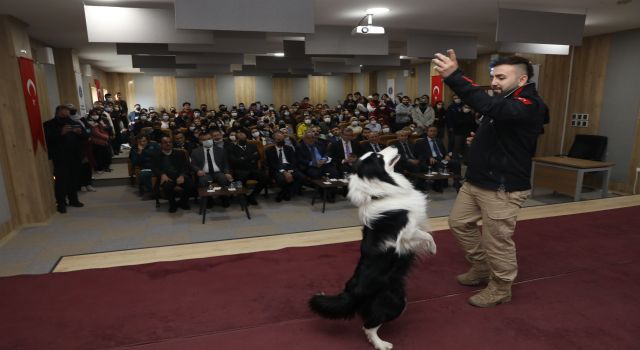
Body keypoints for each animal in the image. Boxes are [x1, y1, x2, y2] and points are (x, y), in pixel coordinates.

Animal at [308, 147, 436, 350]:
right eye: (378, 156)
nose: (393, 146)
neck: (381, 192)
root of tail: (351, 292)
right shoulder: (406, 234)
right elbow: (426, 235)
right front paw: (433, 249)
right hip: (395, 301)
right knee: (368, 326)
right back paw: (381, 344)